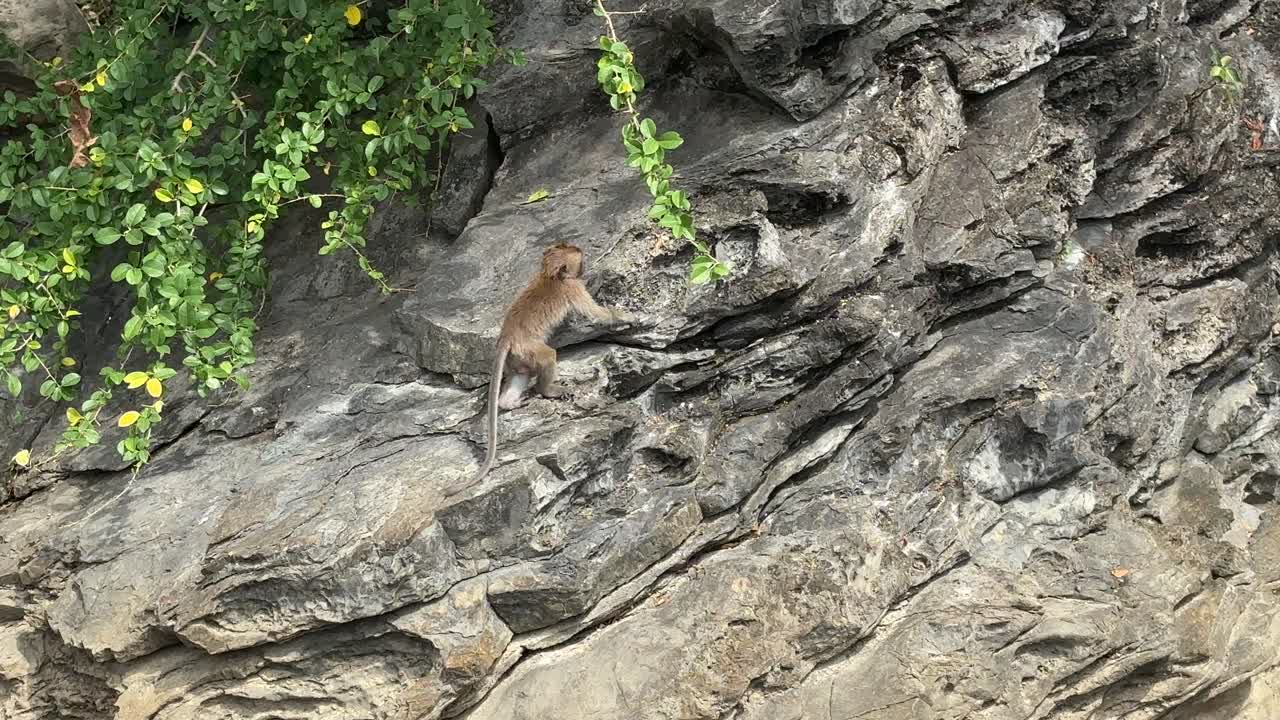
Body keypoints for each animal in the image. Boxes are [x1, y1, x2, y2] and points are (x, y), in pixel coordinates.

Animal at [473, 243, 629, 482]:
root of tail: (507, 338)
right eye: (580, 261)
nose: (585, 269)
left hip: (517, 358)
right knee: (548, 356)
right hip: (529, 349)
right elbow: (597, 314)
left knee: (522, 375)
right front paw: (625, 315)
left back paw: (508, 403)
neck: (549, 275)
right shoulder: (573, 288)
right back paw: (548, 391)